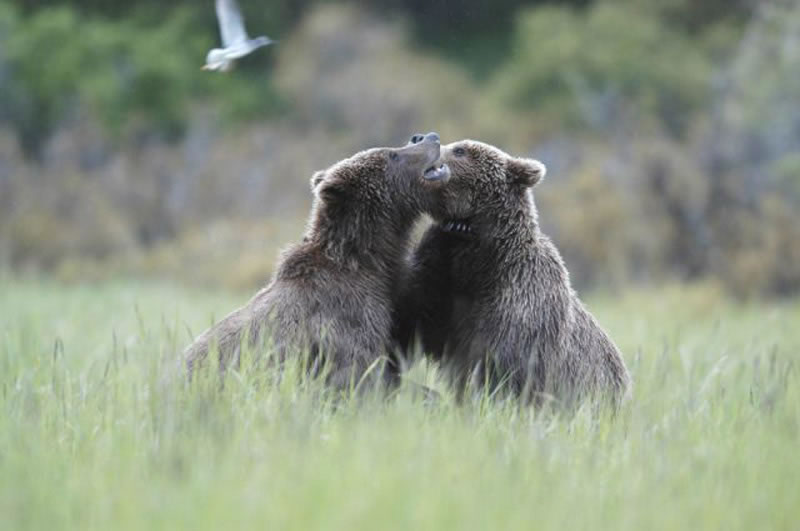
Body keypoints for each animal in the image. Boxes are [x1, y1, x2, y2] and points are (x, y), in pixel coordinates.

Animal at [398, 137, 632, 408]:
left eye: (460, 150)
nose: (418, 138)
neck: (484, 261)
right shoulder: (448, 290)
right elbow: (414, 317)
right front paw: (452, 226)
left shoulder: (521, 302)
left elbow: (506, 369)